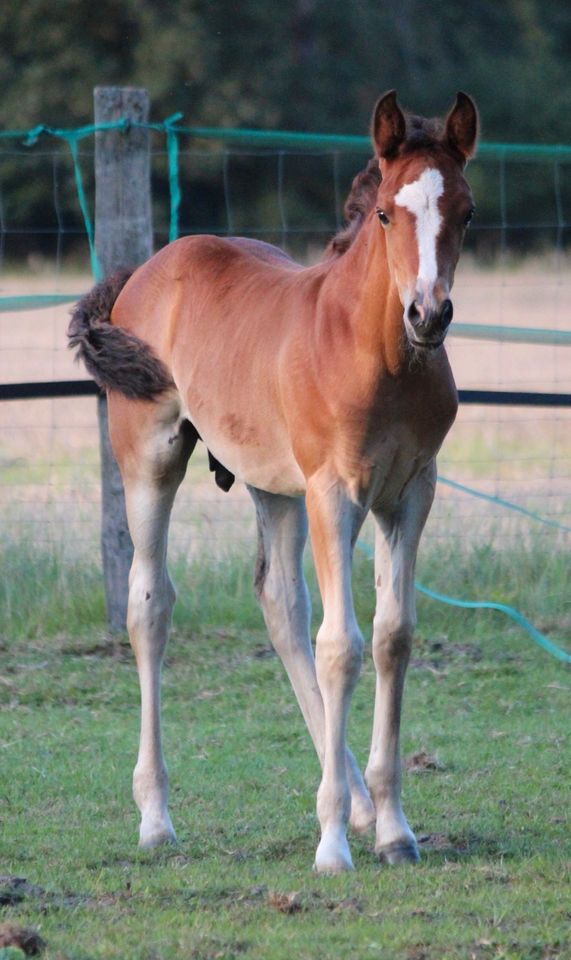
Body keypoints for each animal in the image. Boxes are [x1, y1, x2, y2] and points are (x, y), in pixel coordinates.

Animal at [69, 94, 478, 872]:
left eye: (466, 212)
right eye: (387, 213)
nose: (428, 314)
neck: (377, 353)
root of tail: (142, 271)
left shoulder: (411, 493)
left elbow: (392, 636)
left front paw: (391, 827)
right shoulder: (334, 493)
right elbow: (341, 645)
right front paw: (332, 847)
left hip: (273, 486)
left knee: (280, 606)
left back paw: (354, 803)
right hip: (152, 461)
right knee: (149, 605)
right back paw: (156, 819)